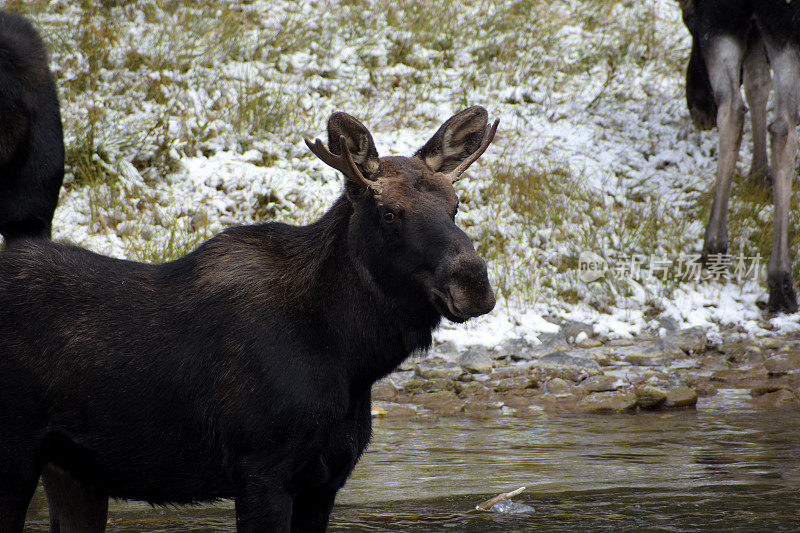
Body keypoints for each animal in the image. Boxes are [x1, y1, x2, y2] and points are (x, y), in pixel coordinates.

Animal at [0, 106, 496, 528]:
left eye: (455, 205)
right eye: (390, 213)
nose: (474, 282)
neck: (352, 359)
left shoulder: (325, 482)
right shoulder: (261, 469)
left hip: (73, 470)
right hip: (16, 453)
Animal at [680, 0, 800, 310]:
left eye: (689, 18)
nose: (698, 107)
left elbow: (757, 82)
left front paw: (759, 175)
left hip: (725, 17)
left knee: (734, 110)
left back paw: (714, 247)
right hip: (787, 29)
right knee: (783, 128)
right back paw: (781, 281)